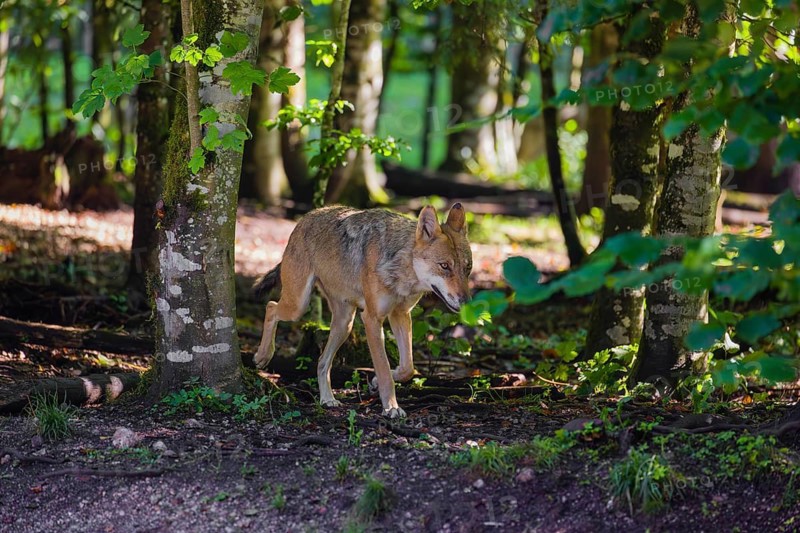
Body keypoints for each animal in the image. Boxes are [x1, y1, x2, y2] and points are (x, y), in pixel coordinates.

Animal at [253, 203, 472, 418]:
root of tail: (306, 217)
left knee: (322, 362)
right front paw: (391, 407)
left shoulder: (400, 314)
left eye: (467, 268)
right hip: (298, 306)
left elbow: (408, 368)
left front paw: (376, 383)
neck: (400, 264)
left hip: (345, 324)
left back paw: (327, 399)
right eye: (445, 266)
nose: (466, 302)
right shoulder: (372, 319)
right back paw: (263, 356)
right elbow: (384, 370)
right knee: (271, 307)